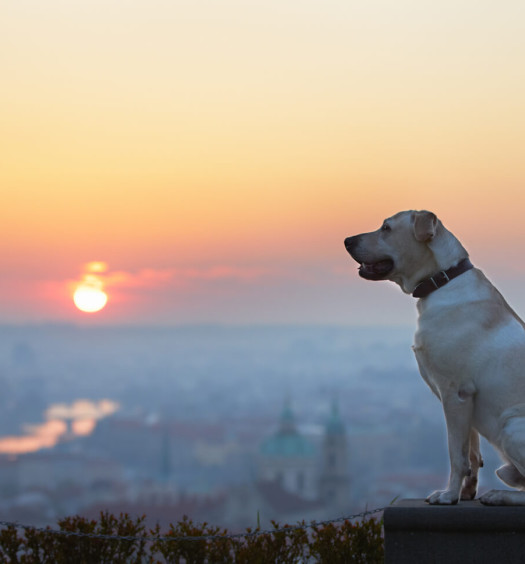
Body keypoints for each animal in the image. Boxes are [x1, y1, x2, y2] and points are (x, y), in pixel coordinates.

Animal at [344, 212, 525, 506]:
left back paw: (499, 495)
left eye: (386, 228)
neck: (443, 279)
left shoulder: (455, 394)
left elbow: (456, 455)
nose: (347, 240)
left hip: (510, 426)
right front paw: (465, 493)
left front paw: (448, 495)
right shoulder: (467, 401)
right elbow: (472, 453)